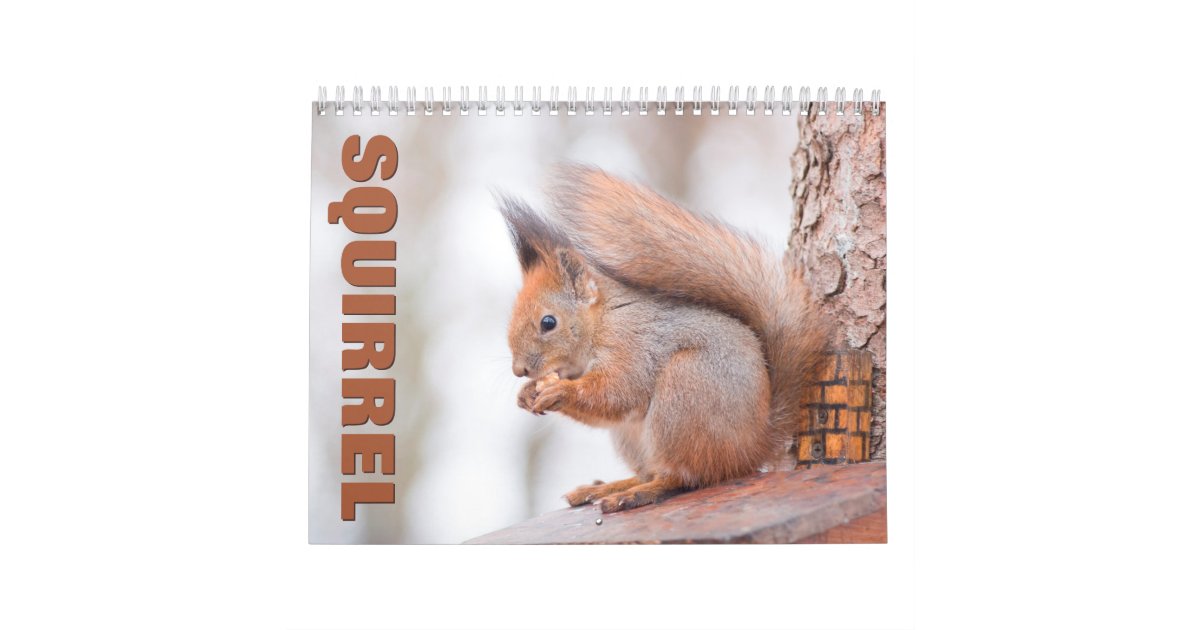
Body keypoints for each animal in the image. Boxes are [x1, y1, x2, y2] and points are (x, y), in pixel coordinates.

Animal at [498, 166, 829, 513]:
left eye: (548, 322)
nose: (519, 370)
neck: (602, 322)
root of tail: (754, 446)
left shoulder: (633, 345)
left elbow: (617, 392)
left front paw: (560, 391)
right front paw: (526, 393)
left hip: (683, 394)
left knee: (684, 476)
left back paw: (638, 493)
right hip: (632, 436)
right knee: (651, 471)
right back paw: (606, 487)